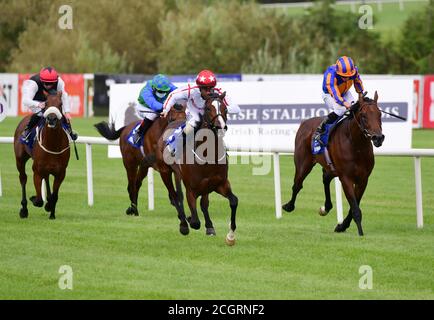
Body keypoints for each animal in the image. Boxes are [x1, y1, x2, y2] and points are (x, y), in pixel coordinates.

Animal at [13, 91, 70, 219]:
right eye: (46, 103)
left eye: (60, 104)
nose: (52, 119)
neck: (52, 144)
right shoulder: (37, 171)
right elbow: (38, 200)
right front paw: (34, 199)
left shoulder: (60, 173)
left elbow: (55, 196)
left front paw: (51, 212)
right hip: (20, 159)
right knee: (23, 178)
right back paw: (24, 209)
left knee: (47, 178)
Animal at [159, 92, 241, 245]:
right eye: (208, 109)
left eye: (225, 109)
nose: (220, 127)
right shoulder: (191, 189)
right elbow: (195, 222)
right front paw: (188, 220)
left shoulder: (219, 184)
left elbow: (233, 201)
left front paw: (230, 236)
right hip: (165, 172)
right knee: (174, 195)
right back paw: (183, 224)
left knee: (201, 203)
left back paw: (208, 226)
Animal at [284, 91, 384, 236]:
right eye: (364, 116)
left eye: (379, 114)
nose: (378, 138)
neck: (356, 145)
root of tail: (304, 122)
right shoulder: (346, 178)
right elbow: (355, 208)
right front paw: (360, 232)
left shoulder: (363, 179)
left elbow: (354, 205)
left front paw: (342, 226)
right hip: (303, 164)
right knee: (297, 185)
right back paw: (289, 206)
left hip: (331, 168)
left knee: (325, 178)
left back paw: (326, 207)